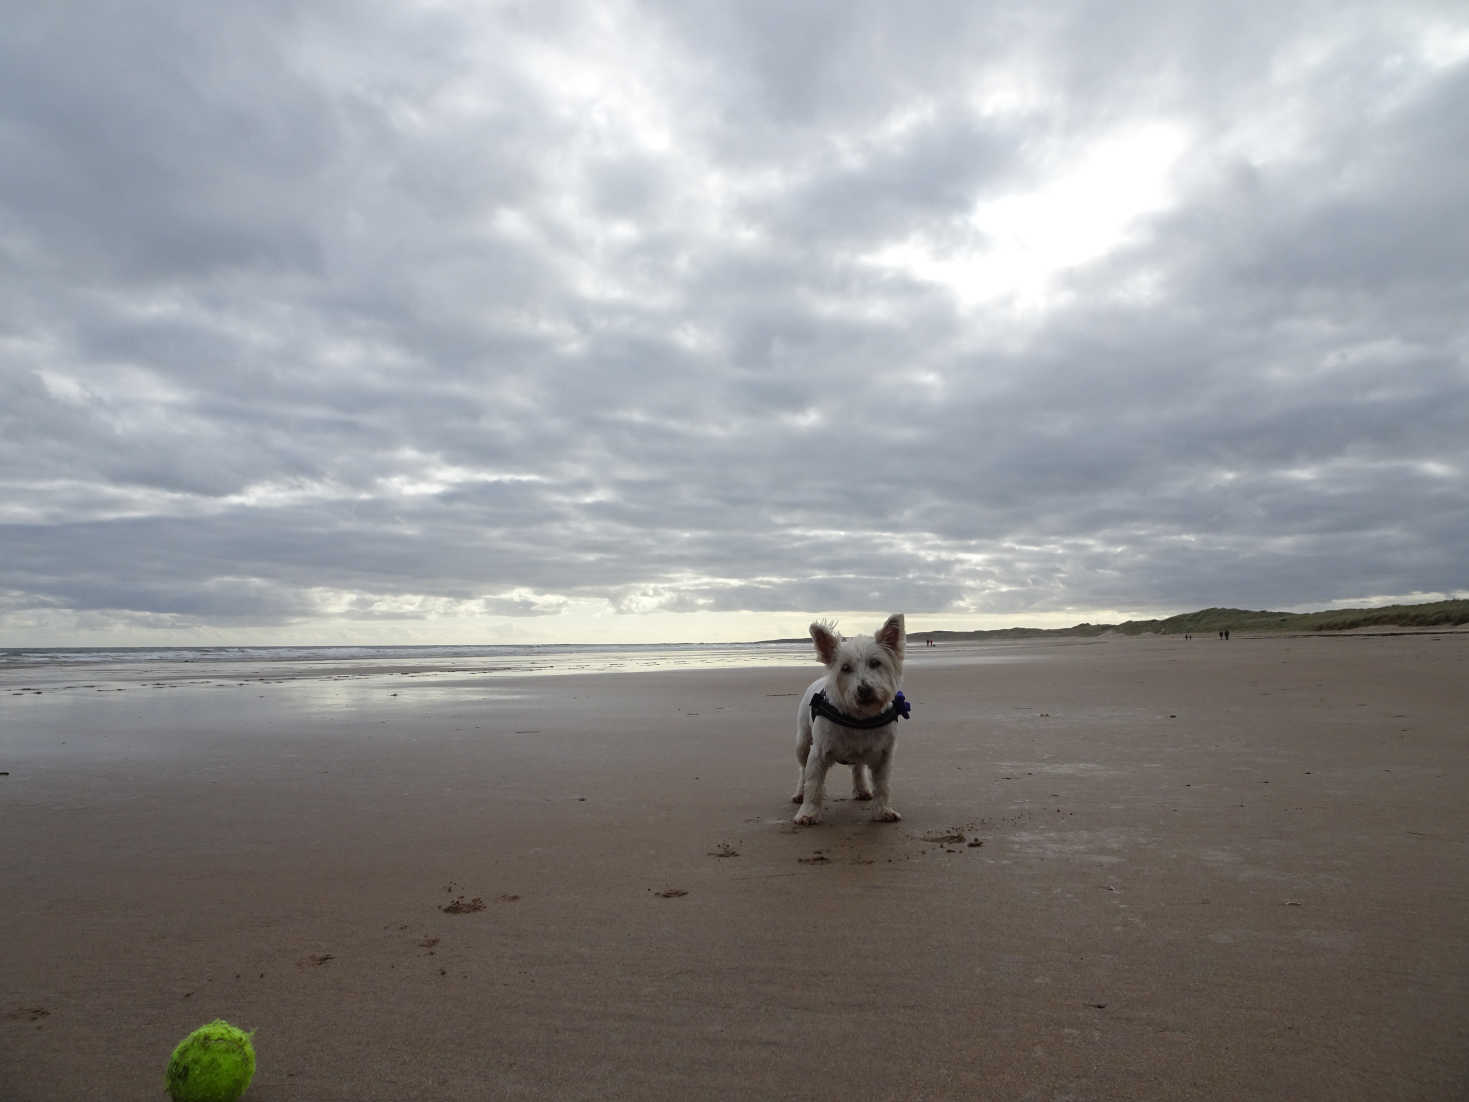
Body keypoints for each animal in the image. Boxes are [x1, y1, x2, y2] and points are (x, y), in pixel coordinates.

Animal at [793, 617, 904, 822]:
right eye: (845, 668)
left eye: (875, 663)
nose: (865, 689)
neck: (859, 718)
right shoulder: (818, 754)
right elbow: (813, 784)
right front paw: (808, 813)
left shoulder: (884, 755)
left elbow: (883, 786)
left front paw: (883, 810)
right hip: (803, 743)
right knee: (803, 769)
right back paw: (799, 794)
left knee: (858, 767)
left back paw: (862, 790)